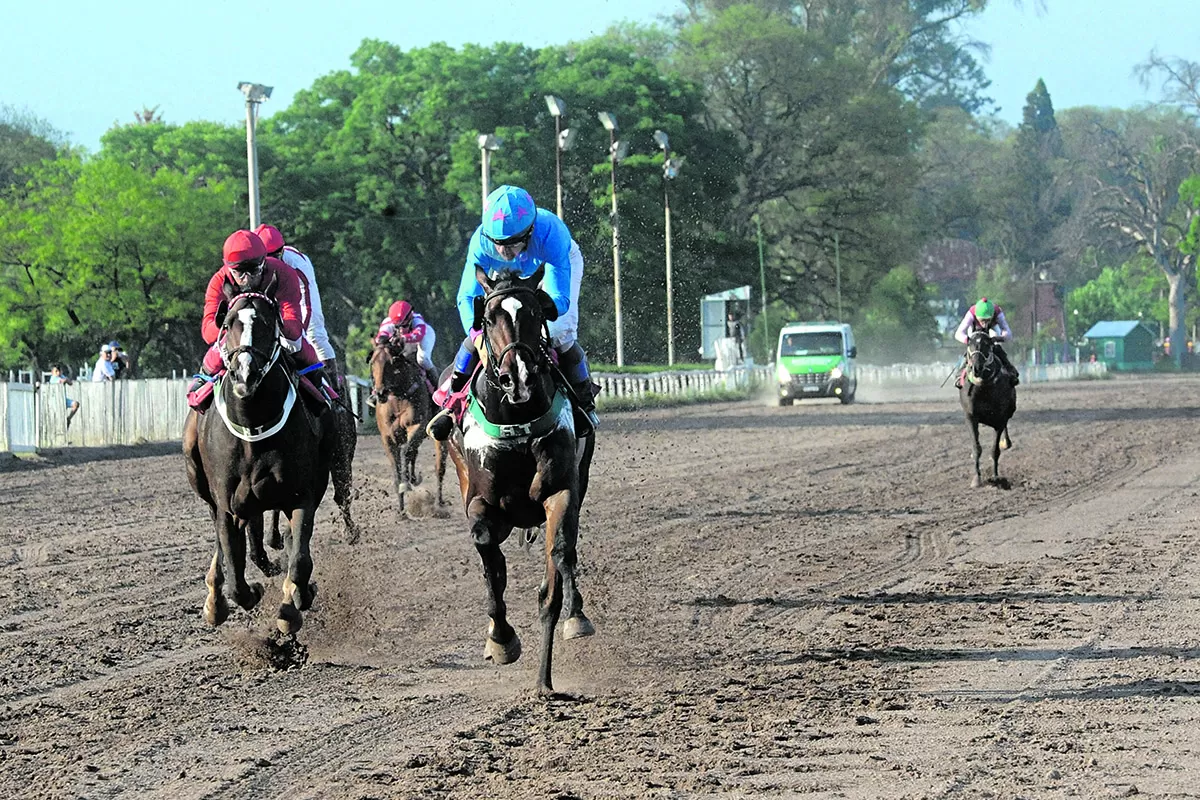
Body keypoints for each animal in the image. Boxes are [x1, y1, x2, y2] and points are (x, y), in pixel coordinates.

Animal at [182, 281, 336, 638]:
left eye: (268, 323)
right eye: (227, 325)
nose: (245, 375)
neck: (253, 426)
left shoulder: (301, 496)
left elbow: (300, 559)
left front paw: (294, 603)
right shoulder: (227, 504)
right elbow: (237, 579)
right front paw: (248, 592)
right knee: (225, 544)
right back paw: (215, 598)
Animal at [369, 335, 446, 513]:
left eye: (392, 362)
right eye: (372, 362)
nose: (380, 393)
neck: (398, 397)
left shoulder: (417, 426)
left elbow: (406, 452)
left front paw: (406, 484)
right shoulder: (387, 437)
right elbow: (397, 468)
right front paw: (401, 509)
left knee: (439, 468)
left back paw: (439, 503)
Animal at [448, 266, 597, 695]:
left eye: (534, 312)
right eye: (488, 318)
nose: (519, 377)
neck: (517, 421)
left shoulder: (560, 493)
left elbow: (559, 560)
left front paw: (545, 677)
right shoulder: (480, 502)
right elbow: (489, 558)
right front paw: (501, 638)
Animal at [955, 331, 1012, 489]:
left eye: (987, 344)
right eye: (970, 344)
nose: (977, 367)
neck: (983, 389)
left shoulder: (999, 420)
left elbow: (995, 450)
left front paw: (996, 477)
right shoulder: (970, 417)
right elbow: (977, 448)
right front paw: (977, 479)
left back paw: (1006, 442)